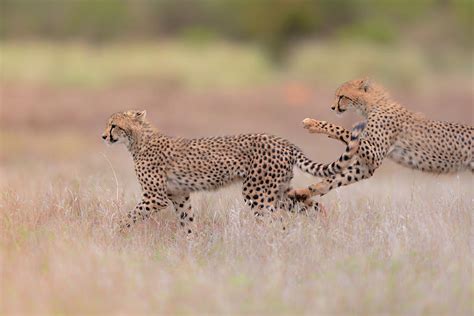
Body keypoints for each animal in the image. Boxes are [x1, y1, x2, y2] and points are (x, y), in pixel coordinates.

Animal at [102, 110, 364, 232]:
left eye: (114, 125)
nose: (103, 136)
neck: (138, 140)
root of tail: (285, 142)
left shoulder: (155, 197)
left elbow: (130, 216)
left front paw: (115, 233)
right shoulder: (179, 195)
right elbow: (187, 222)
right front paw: (191, 245)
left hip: (257, 193)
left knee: (277, 222)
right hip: (280, 192)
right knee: (314, 205)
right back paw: (320, 234)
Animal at [288, 78, 474, 200]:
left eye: (342, 96)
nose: (332, 107)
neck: (372, 105)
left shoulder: (374, 153)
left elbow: (342, 130)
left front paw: (313, 124)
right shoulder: (367, 166)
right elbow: (336, 178)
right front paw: (306, 191)